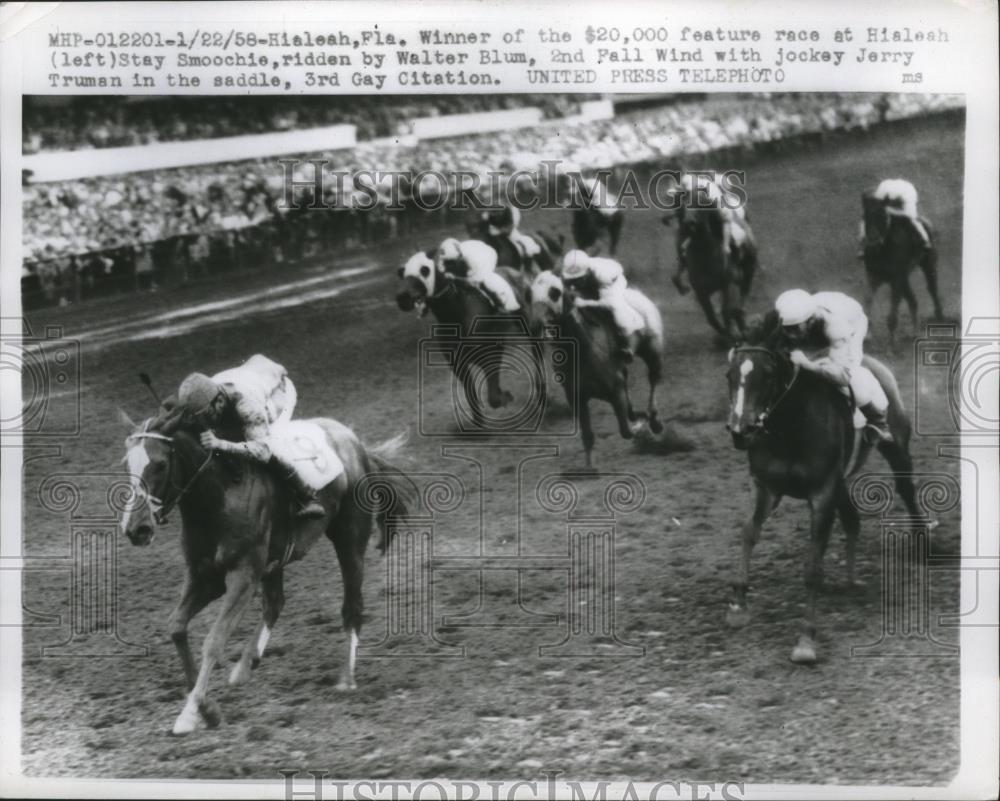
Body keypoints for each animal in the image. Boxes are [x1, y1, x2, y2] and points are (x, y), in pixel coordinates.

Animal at [118, 404, 414, 736]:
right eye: (128, 464)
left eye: (159, 464)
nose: (136, 529)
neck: (218, 495)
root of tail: (356, 443)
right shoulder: (203, 576)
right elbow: (176, 627)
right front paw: (208, 709)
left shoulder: (243, 577)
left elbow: (214, 641)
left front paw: (192, 712)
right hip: (276, 561)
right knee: (275, 602)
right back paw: (246, 666)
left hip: (349, 540)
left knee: (352, 605)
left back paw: (346, 679)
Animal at [728, 344, 920, 664]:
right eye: (729, 375)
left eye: (766, 376)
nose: (740, 430)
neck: (790, 426)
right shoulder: (767, 487)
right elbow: (748, 532)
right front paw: (739, 605)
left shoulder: (822, 495)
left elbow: (812, 568)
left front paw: (806, 639)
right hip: (840, 484)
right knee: (853, 521)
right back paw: (850, 581)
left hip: (895, 447)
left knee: (906, 489)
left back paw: (923, 542)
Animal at [860, 194, 944, 346]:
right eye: (865, 216)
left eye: (883, 217)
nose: (873, 244)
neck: (883, 250)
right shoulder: (874, 277)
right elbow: (867, 300)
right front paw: (868, 336)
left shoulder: (896, 280)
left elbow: (892, 316)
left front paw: (893, 345)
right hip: (904, 279)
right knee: (913, 300)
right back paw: (914, 332)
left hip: (928, 266)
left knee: (932, 289)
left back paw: (939, 318)